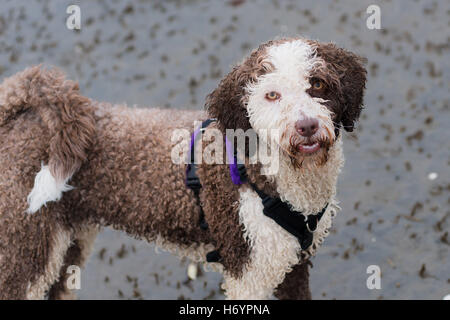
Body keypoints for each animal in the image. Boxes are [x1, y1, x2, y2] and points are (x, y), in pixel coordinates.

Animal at [0, 37, 366, 300]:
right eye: (271, 95)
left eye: (317, 84)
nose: (306, 127)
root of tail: (20, 115)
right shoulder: (247, 275)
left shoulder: (294, 266)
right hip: (24, 254)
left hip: (67, 244)